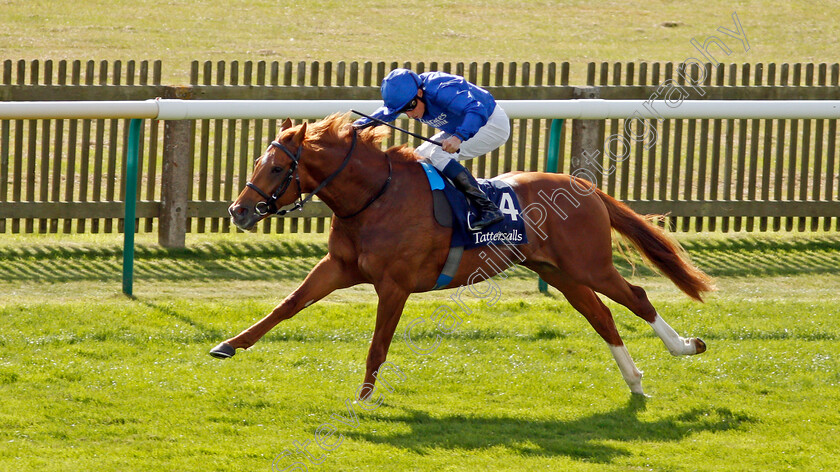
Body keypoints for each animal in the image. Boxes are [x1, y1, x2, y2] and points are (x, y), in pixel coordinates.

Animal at [213, 113, 712, 394]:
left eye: (277, 167)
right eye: (257, 163)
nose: (238, 210)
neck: (375, 196)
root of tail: (584, 186)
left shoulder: (394, 285)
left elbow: (378, 344)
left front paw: (364, 398)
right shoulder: (338, 267)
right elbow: (288, 305)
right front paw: (229, 345)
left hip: (589, 265)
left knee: (637, 298)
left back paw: (686, 346)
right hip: (560, 272)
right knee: (602, 317)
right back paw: (635, 381)